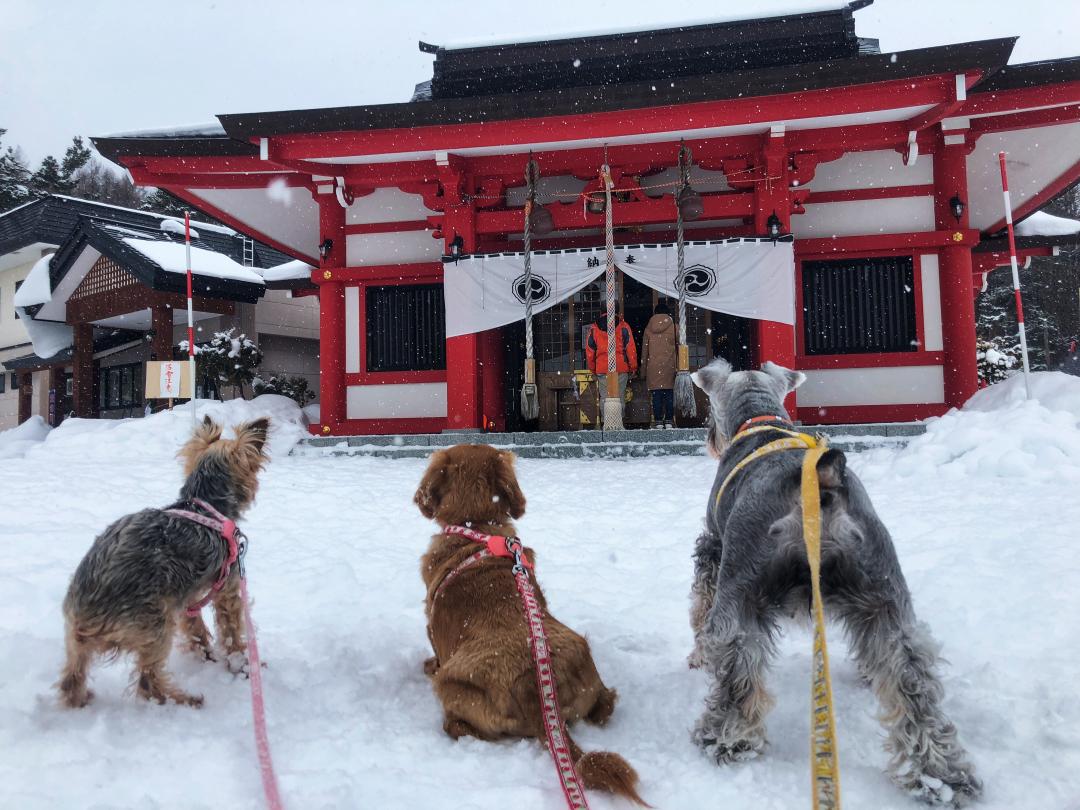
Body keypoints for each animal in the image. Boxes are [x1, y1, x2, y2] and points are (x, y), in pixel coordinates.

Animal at [58, 419, 270, 708]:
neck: (205, 504)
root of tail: (87, 614)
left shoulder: (186, 600)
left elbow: (195, 629)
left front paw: (206, 655)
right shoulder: (227, 586)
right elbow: (232, 632)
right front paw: (244, 666)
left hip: (79, 639)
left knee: (72, 677)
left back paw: (81, 699)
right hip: (154, 623)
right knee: (148, 682)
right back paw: (184, 700)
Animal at [416, 444, 643, 807]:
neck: (477, 524)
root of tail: (533, 688)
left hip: (450, 686)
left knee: (462, 725)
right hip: (585, 657)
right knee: (605, 704)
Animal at [686, 362, 984, 810]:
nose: (708, 438)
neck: (761, 419)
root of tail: (816, 485)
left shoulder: (713, 550)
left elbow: (699, 610)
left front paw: (697, 657)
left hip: (739, 595)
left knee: (737, 669)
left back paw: (726, 738)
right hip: (887, 600)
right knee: (912, 680)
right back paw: (940, 774)